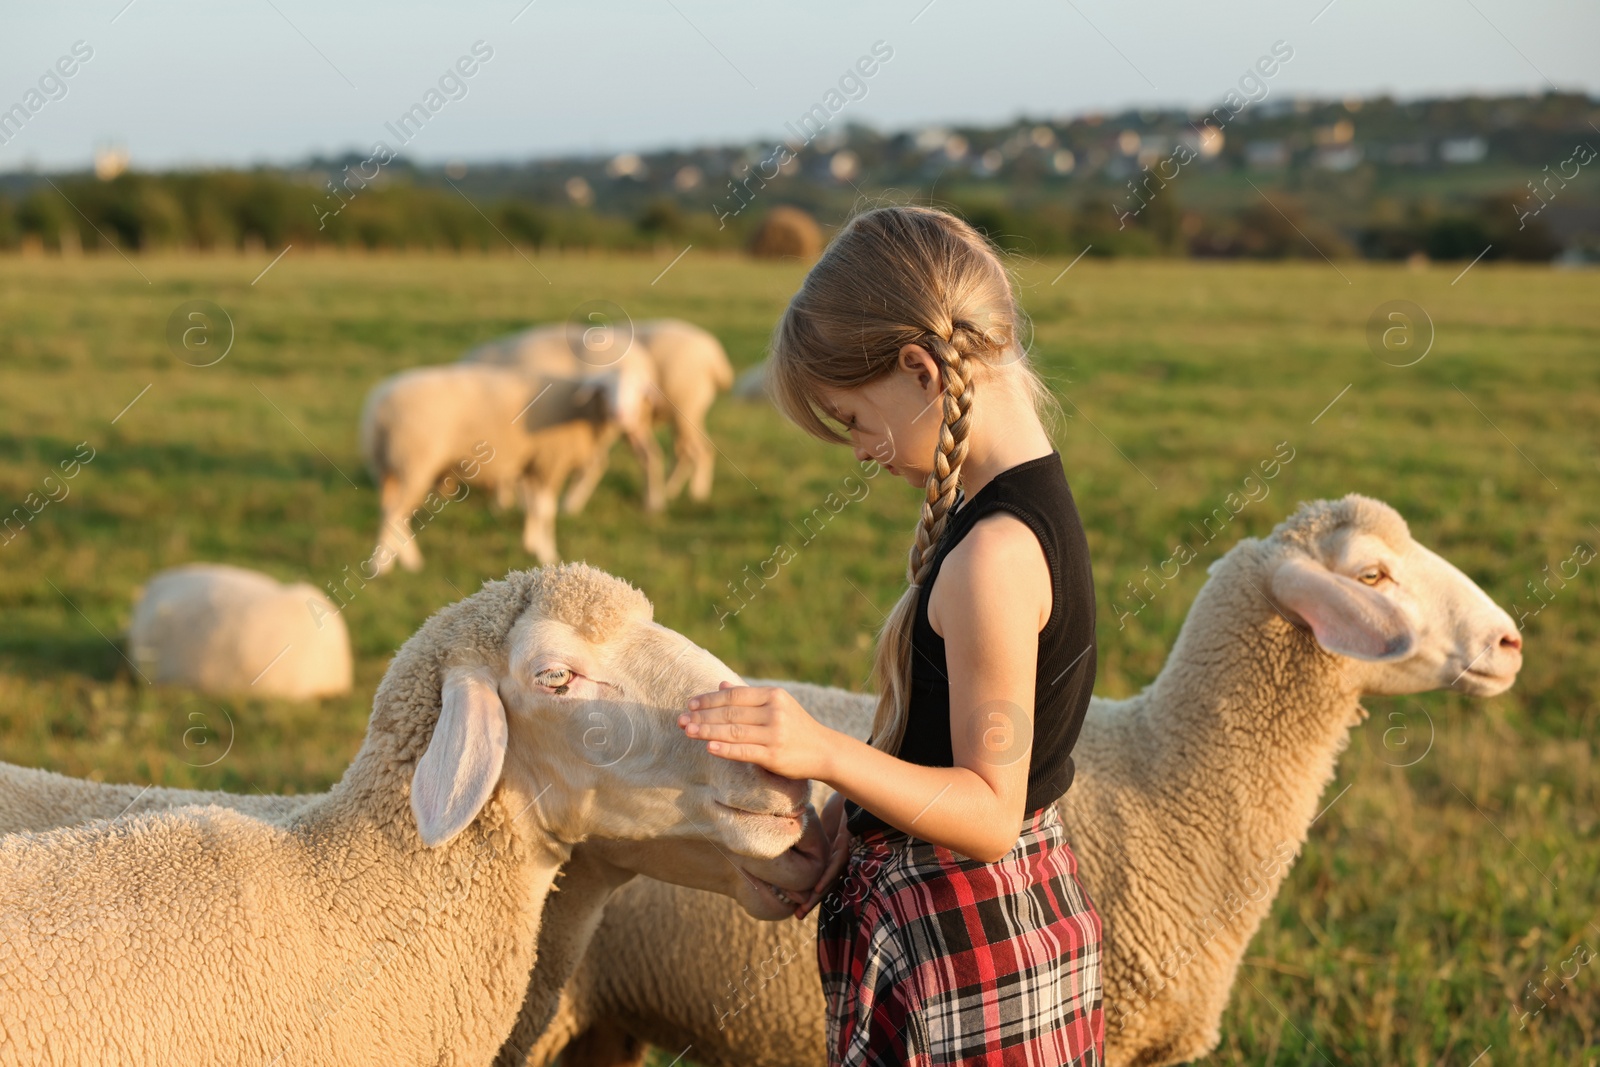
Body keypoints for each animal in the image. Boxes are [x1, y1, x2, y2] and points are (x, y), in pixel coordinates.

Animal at [363, 358, 656, 572]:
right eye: (605, 389)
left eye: (638, 390)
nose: (622, 415)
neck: (583, 413)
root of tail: (377, 407)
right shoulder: (549, 461)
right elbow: (545, 509)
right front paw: (548, 554)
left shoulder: (531, 463)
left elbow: (532, 507)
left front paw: (530, 544)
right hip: (413, 462)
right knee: (394, 512)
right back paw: (383, 566)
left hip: (388, 466)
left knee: (393, 511)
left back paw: (406, 560)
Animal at [467, 316, 732, 511]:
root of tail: (714, 356)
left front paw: (504, 503)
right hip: (657, 417)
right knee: (668, 453)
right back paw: (658, 500)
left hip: (680, 408)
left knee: (689, 451)